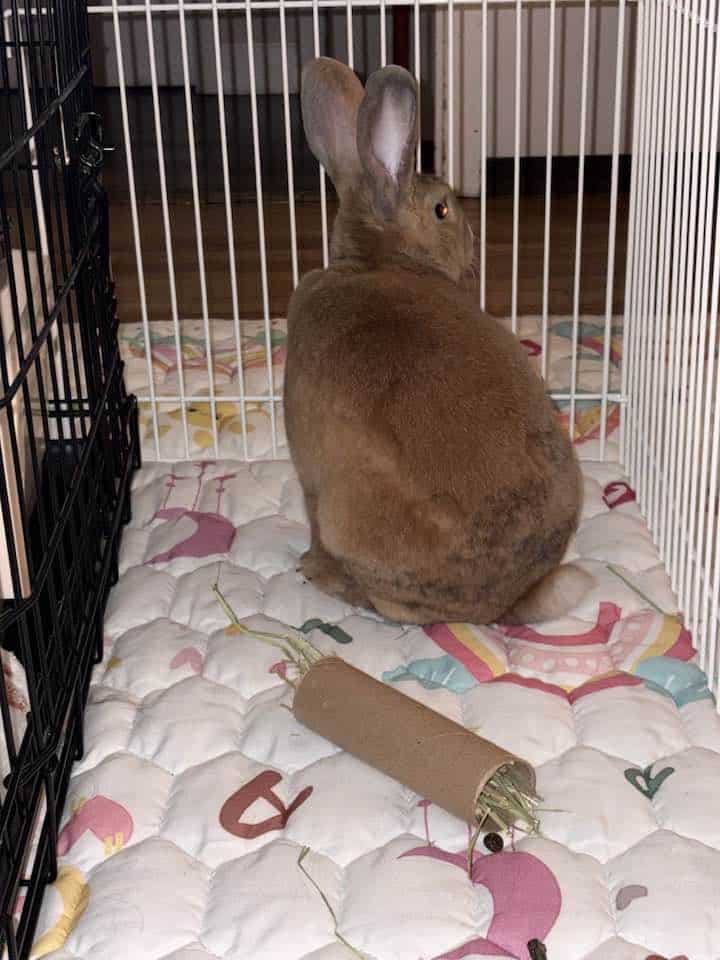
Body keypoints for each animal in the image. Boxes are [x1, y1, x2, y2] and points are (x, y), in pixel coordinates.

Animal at [283, 56, 591, 626]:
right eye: (443, 210)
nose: (472, 241)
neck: (379, 261)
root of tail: (501, 603)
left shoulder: (309, 478)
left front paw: (310, 562)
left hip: (344, 515)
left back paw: (323, 576)